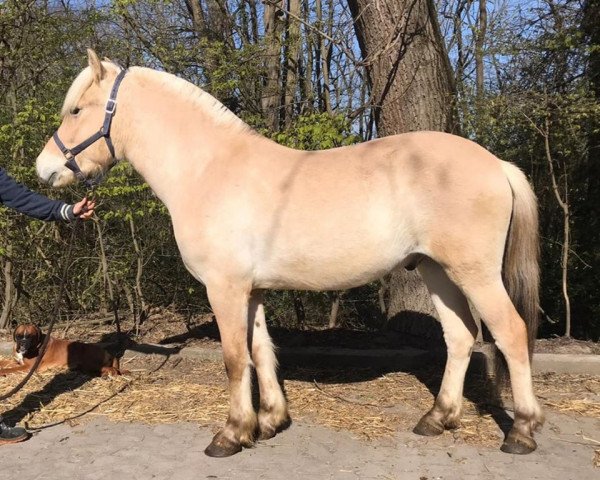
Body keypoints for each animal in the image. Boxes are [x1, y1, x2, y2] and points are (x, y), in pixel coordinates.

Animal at [36, 49, 544, 458]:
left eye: (77, 109)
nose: (45, 169)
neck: (209, 170)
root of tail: (496, 164)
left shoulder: (225, 288)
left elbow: (235, 358)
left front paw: (230, 434)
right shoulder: (252, 290)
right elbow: (261, 350)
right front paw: (268, 422)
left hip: (475, 273)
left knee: (511, 334)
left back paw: (521, 431)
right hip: (437, 270)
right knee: (460, 338)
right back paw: (437, 419)